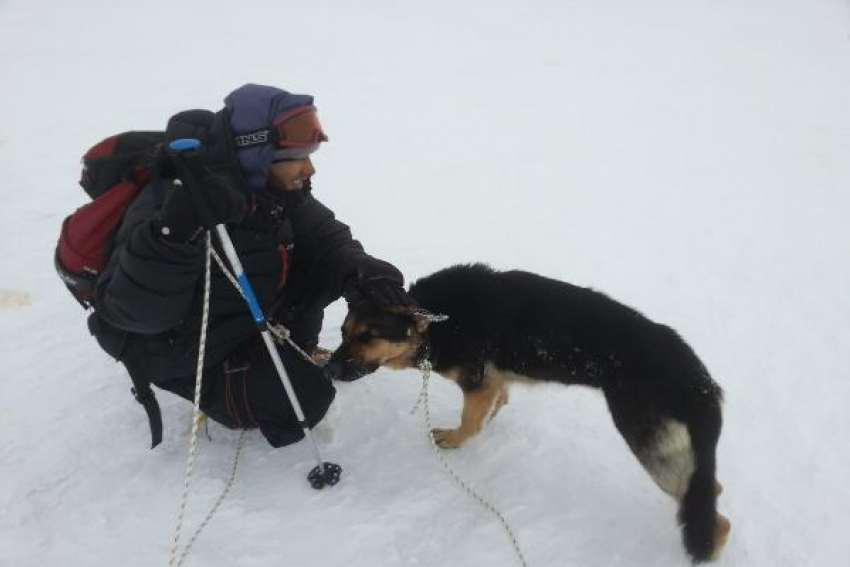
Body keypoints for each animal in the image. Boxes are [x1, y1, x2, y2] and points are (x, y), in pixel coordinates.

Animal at [324, 264, 728, 560]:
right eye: (345, 332)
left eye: (369, 337)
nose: (328, 369)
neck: (438, 321)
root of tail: (702, 385)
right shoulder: (493, 381)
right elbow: (496, 402)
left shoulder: (476, 384)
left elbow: (469, 421)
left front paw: (454, 440)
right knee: (710, 491)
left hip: (652, 450)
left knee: (713, 519)